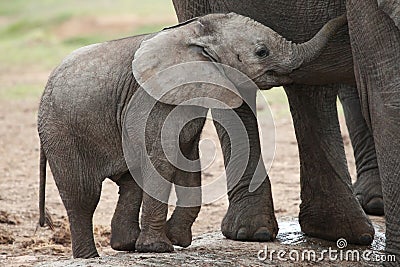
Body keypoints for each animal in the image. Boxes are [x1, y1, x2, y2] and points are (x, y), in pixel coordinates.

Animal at [36, 13, 346, 260]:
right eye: (262, 52)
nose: (342, 19)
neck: (192, 35)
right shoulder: (154, 100)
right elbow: (162, 162)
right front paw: (158, 249)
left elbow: (187, 161)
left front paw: (177, 240)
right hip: (61, 131)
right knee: (83, 196)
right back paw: (89, 255)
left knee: (130, 183)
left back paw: (125, 245)